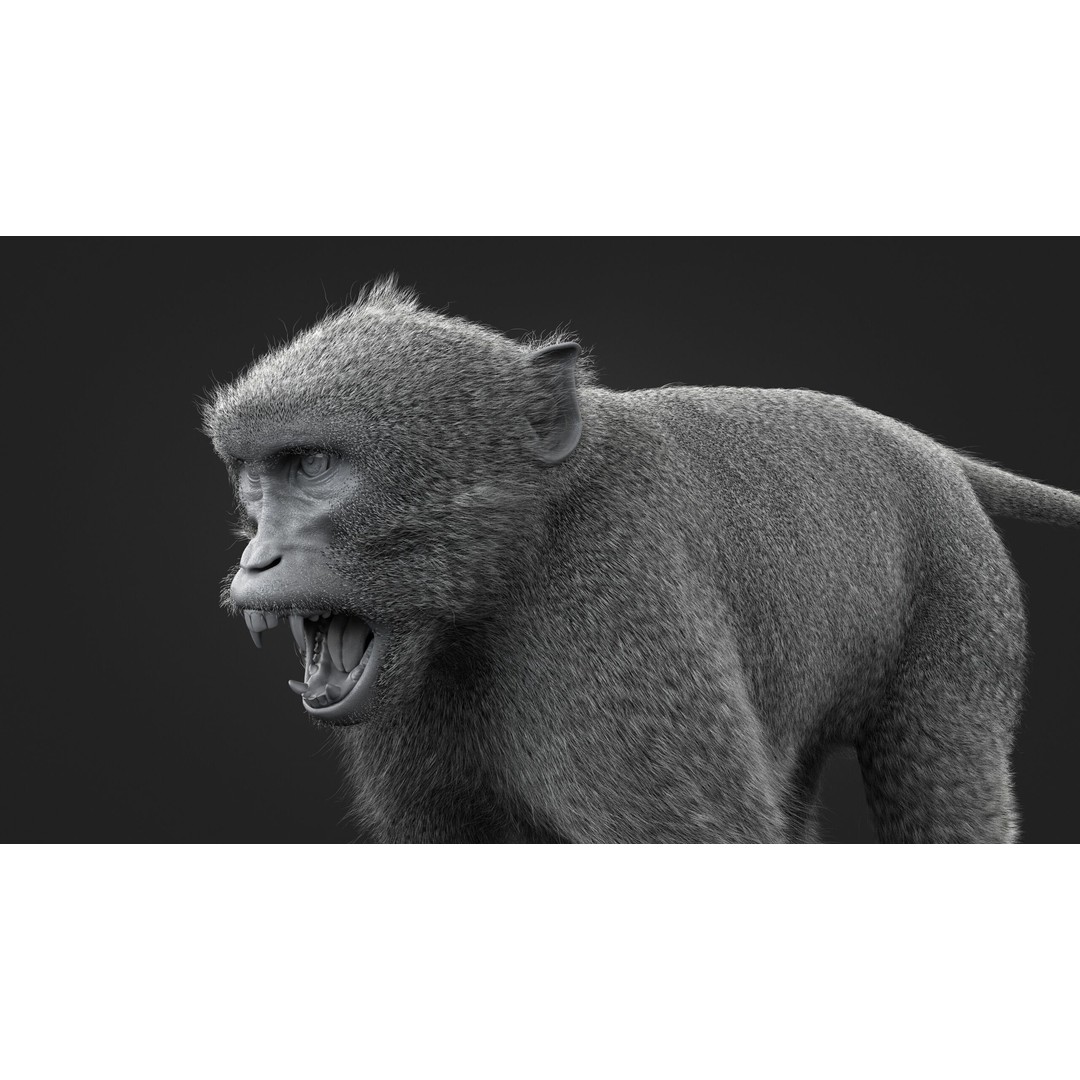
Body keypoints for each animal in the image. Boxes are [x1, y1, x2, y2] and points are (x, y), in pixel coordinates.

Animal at [202, 278, 1079, 843]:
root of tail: (926, 447)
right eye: (257, 476)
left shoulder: (615, 618)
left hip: (961, 584)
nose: (258, 558)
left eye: (313, 465)